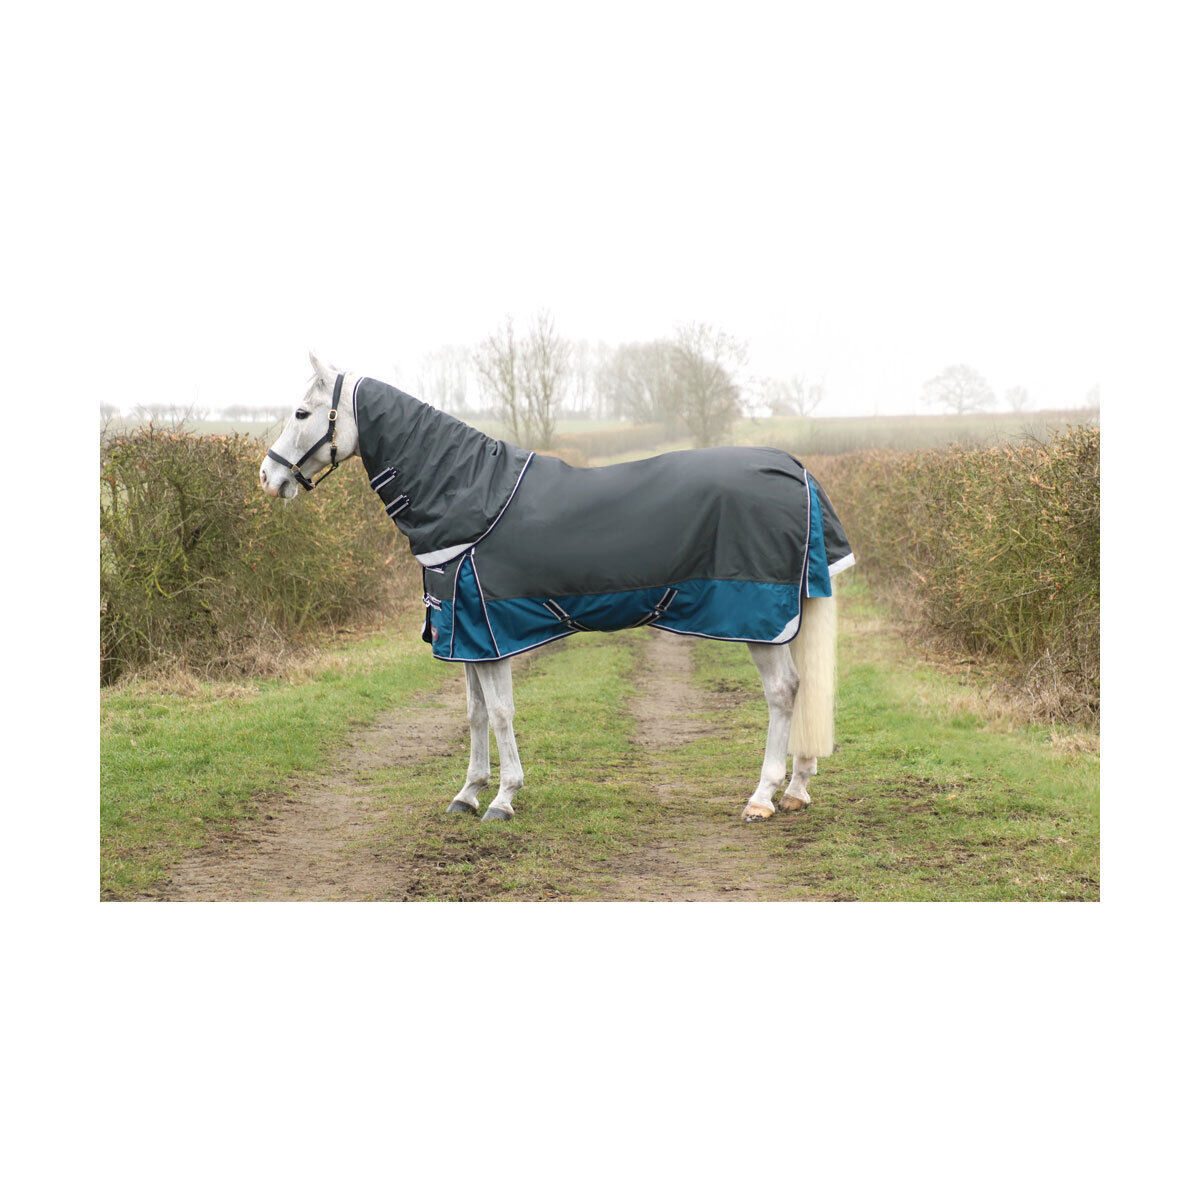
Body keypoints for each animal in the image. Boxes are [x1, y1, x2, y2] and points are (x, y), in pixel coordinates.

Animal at [260, 353, 855, 824]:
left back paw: (762, 797)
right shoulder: (464, 633)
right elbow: (475, 713)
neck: (467, 496)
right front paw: (467, 794)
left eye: (302, 413)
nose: (268, 477)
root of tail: (795, 468)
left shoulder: (488, 630)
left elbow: (501, 712)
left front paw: (503, 798)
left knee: (783, 694)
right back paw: (797, 789)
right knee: (802, 689)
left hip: (760, 620)